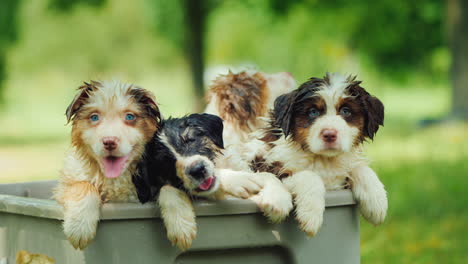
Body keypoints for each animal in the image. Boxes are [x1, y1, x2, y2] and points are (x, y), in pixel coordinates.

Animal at [53, 80, 161, 250]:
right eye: (94, 117)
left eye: (129, 116)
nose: (109, 141)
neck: (114, 179)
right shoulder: (65, 184)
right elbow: (83, 185)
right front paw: (79, 229)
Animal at [252, 73, 388, 236]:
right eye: (313, 112)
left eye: (346, 111)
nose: (329, 134)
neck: (324, 160)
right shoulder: (264, 162)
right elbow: (309, 176)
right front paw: (310, 216)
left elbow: (361, 168)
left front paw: (377, 203)